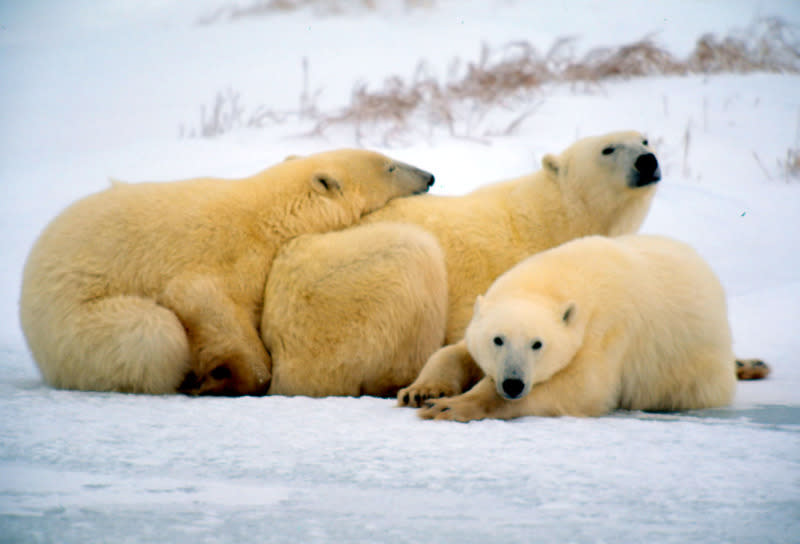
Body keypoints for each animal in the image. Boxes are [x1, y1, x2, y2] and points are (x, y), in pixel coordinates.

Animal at [18, 149, 432, 396]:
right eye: (390, 165)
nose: (429, 176)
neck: (268, 216)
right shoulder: (219, 259)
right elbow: (210, 306)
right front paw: (240, 377)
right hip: (75, 322)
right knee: (152, 332)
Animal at [418, 234, 736, 420]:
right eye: (498, 339)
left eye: (537, 343)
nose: (513, 383)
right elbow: (456, 351)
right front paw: (423, 392)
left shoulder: (608, 330)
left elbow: (581, 388)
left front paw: (450, 406)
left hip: (693, 370)